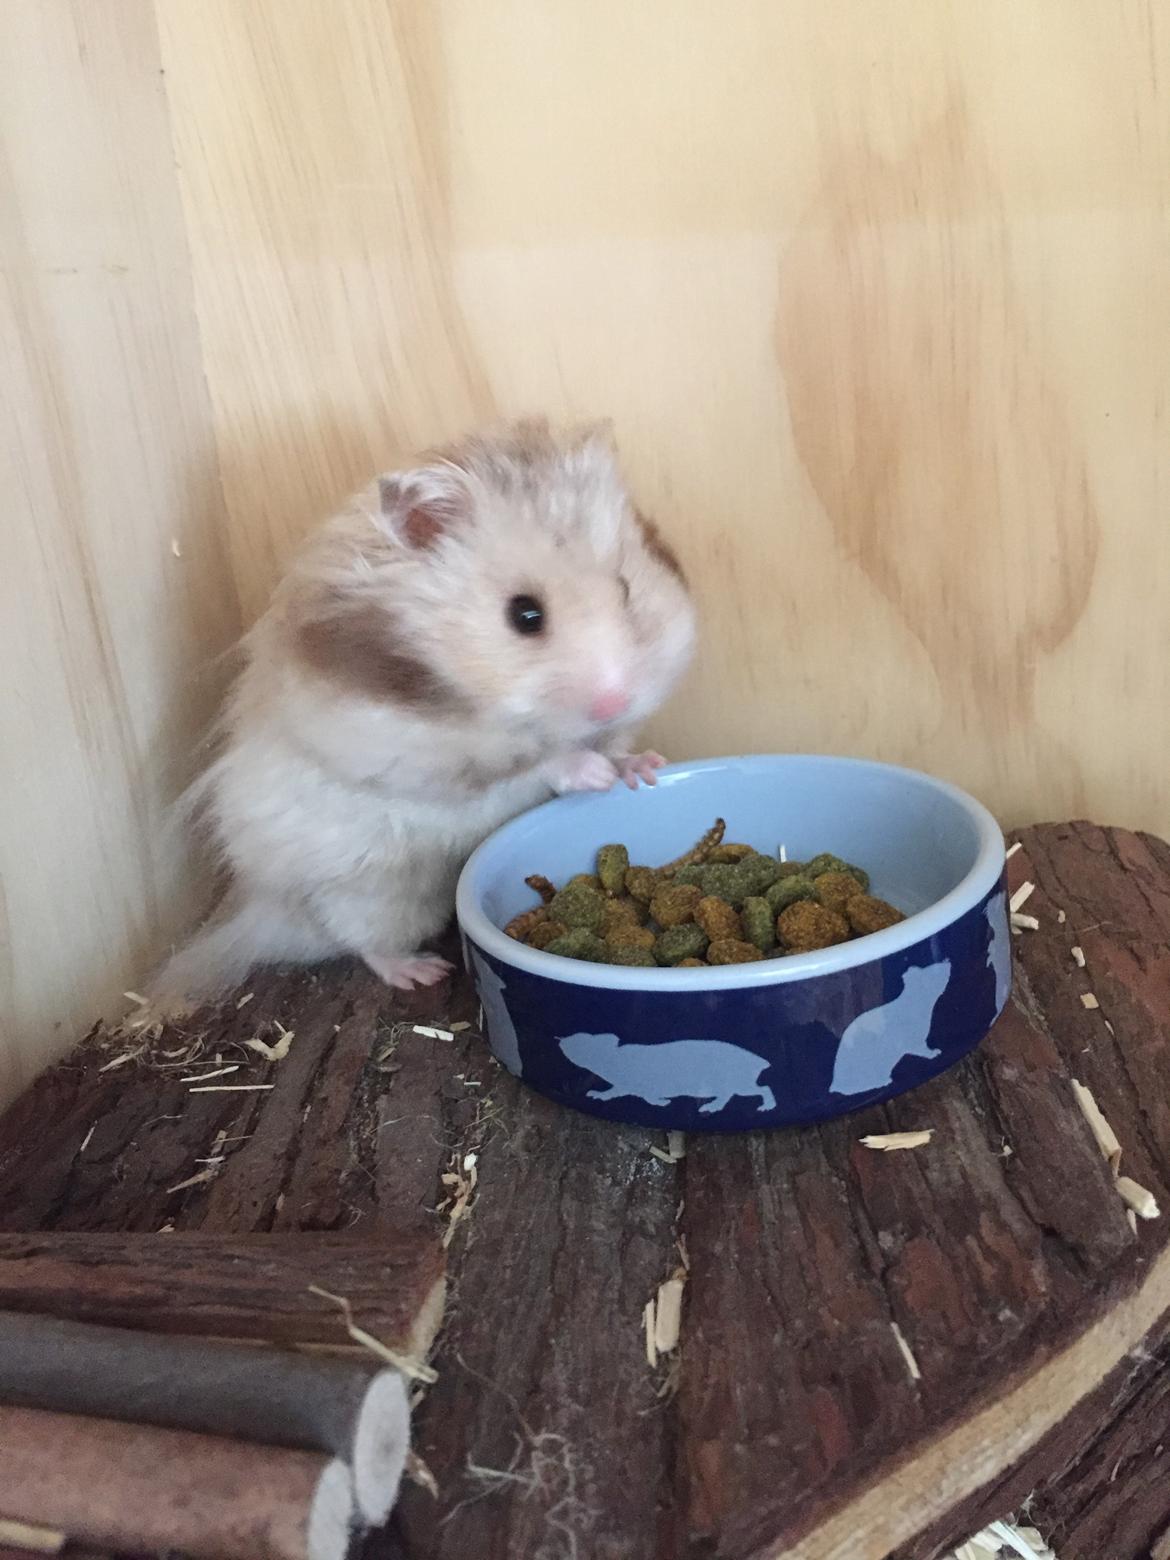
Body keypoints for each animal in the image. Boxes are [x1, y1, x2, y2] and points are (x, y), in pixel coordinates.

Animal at [150, 419, 696, 1007]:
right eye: (524, 615)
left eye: (624, 588)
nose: (615, 700)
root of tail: (260, 915)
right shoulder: (416, 755)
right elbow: (523, 768)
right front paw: (590, 771)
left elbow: (609, 746)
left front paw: (644, 768)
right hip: (370, 896)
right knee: (362, 941)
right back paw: (421, 971)